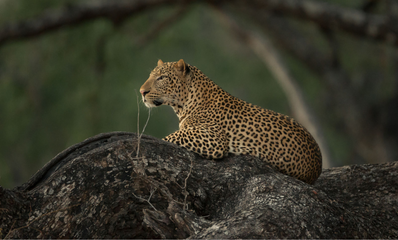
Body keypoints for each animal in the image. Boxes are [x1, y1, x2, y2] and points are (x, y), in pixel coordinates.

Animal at [141, 59, 322, 184]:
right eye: (150, 76)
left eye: (161, 78)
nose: (142, 91)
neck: (184, 104)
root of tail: (317, 168)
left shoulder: (213, 138)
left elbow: (172, 137)